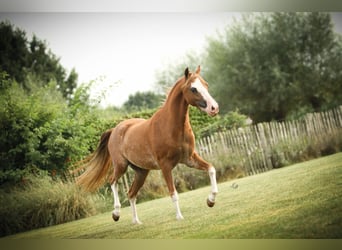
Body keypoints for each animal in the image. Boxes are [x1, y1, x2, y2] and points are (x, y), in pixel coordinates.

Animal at [76, 65, 219, 224]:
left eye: (206, 85)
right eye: (193, 88)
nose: (214, 108)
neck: (172, 126)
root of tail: (114, 129)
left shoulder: (189, 159)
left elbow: (211, 169)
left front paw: (210, 201)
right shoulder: (165, 166)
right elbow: (173, 193)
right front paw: (179, 217)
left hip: (141, 172)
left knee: (131, 193)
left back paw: (136, 222)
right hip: (121, 166)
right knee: (112, 181)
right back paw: (116, 214)